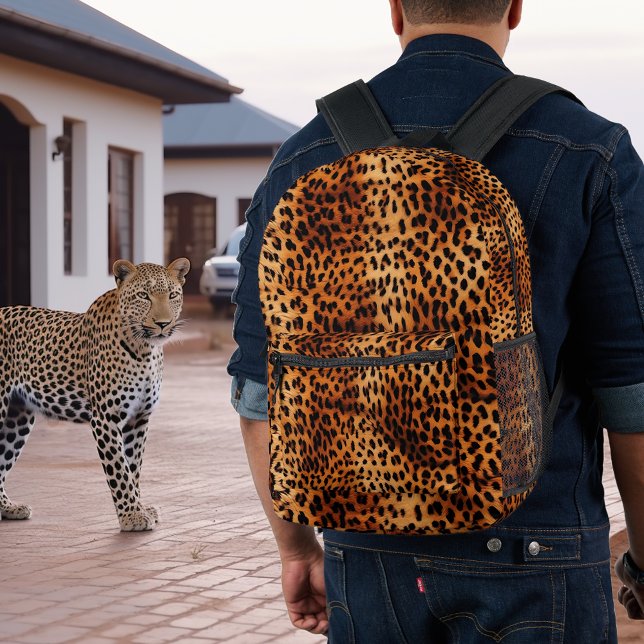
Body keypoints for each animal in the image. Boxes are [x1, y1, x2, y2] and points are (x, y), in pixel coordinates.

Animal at [0, 258, 190, 531]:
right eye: (144, 296)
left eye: (173, 295)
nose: (163, 323)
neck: (145, 351)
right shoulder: (106, 419)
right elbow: (120, 470)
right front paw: (132, 516)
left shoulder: (139, 419)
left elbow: (134, 468)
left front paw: (140, 508)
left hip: (17, 417)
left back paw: (8, 508)